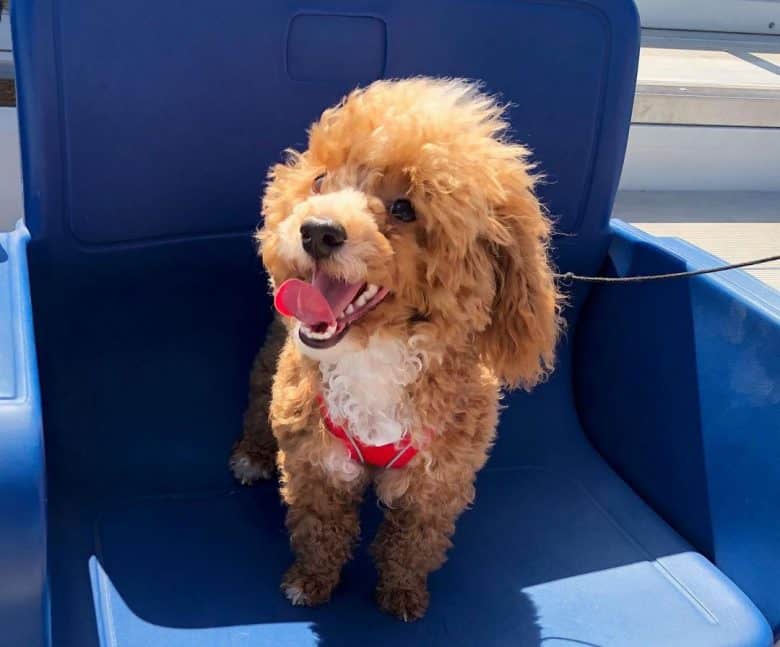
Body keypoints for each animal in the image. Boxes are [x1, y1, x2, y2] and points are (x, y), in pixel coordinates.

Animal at [230, 77, 560, 624]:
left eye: (405, 209)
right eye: (320, 180)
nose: (317, 230)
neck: (375, 354)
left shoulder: (437, 480)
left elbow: (415, 542)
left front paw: (402, 592)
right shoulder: (316, 460)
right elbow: (319, 529)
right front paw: (309, 582)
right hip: (271, 370)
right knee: (257, 405)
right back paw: (251, 455)